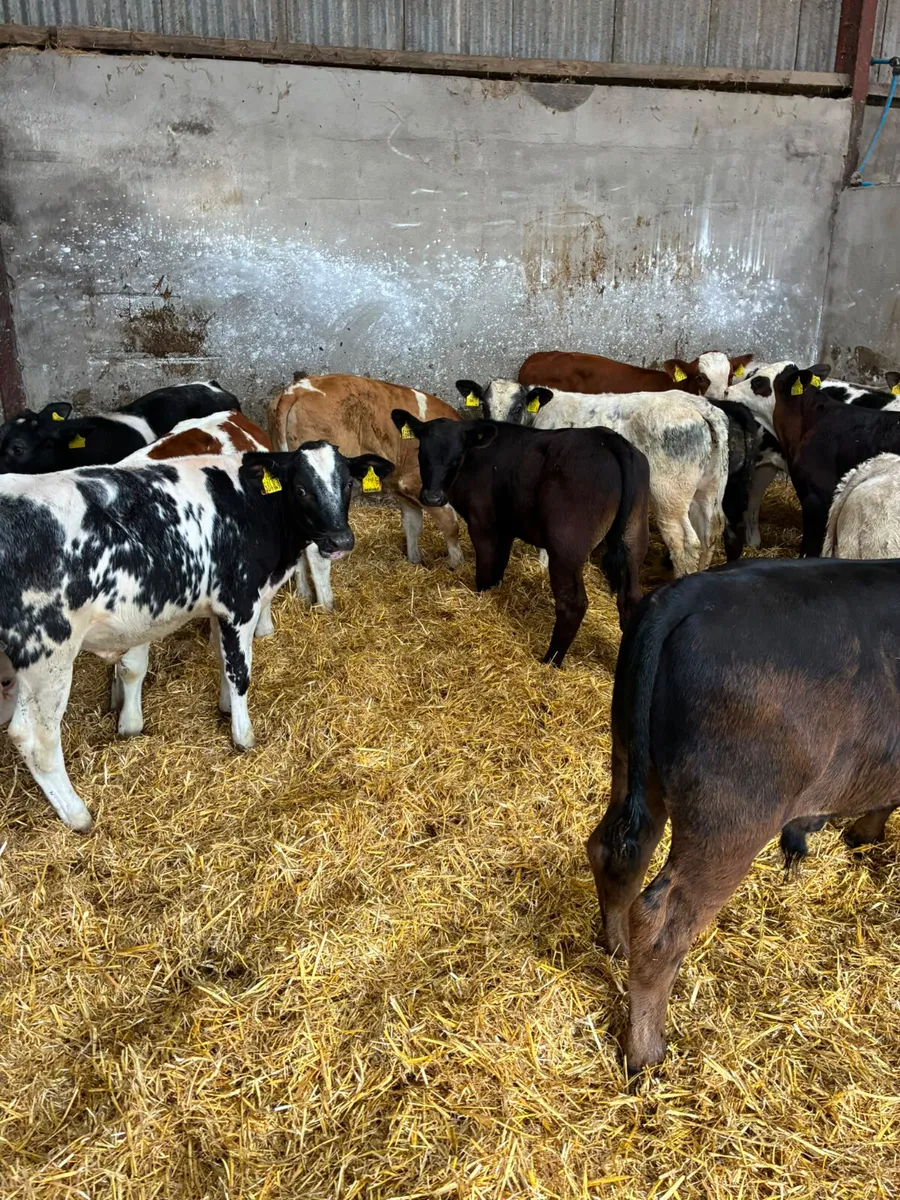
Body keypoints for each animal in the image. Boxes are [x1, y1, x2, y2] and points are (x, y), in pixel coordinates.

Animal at [0, 443, 393, 831]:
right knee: (34, 737)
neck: (253, 506)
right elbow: (240, 673)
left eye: (347, 484)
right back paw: (78, 815)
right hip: (47, 652)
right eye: (300, 489)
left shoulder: (220, 608)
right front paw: (243, 736)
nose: (340, 540)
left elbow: (223, 660)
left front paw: (225, 708)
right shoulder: (240, 602)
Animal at [269, 375, 464, 610]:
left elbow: (412, 525)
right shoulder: (416, 484)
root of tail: (296, 389)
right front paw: (457, 564)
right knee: (318, 552)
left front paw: (414, 560)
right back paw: (327, 605)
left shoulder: (401, 487)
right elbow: (450, 523)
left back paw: (303, 596)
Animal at [389, 408, 650, 666]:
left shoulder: (483, 524)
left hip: (566, 547)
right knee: (630, 599)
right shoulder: (505, 527)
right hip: (634, 538)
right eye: (423, 454)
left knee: (573, 604)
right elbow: (498, 568)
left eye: (456, 458)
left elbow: (485, 573)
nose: (432, 497)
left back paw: (550, 661)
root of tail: (607, 439)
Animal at [459, 379, 728, 576]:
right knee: (711, 531)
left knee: (684, 542)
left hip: (669, 494)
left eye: (517, 408)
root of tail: (699, 405)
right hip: (707, 490)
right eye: (484, 406)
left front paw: (543, 565)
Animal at [586, 556, 900, 1072]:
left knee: (616, 850)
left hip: (633, 763)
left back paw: (616, 948)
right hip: (731, 821)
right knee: (661, 921)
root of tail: (688, 594)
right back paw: (646, 1052)